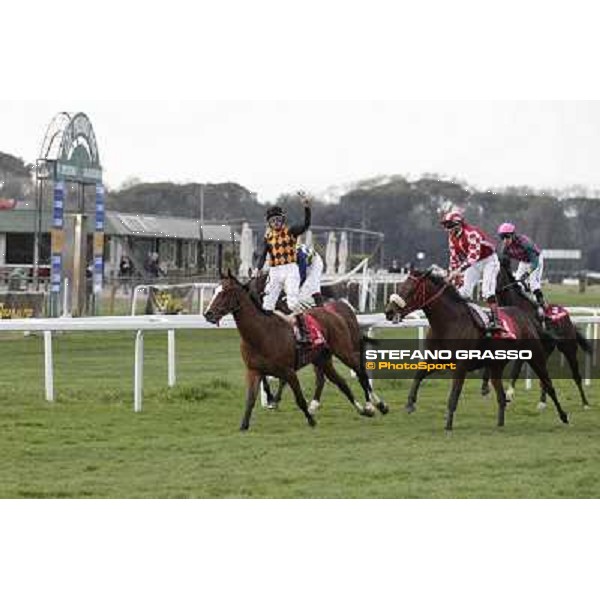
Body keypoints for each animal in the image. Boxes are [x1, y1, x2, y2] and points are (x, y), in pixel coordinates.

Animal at [204, 272, 386, 432]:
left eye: (225, 292)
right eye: (215, 291)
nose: (208, 314)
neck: (261, 333)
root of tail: (332, 311)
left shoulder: (289, 371)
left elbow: (299, 398)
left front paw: (311, 420)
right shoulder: (253, 371)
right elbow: (250, 400)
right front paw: (244, 425)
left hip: (344, 350)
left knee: (360, 372)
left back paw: (376, 405)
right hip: (322, 359)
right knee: (340, 382)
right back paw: (362, 409)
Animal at [384, 268, 568, 432]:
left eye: (410, 290)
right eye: (399, 287)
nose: (389, 311)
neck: (449, 322)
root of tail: (527, 317)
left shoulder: (460, 366)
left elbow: (454, 394)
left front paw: (448, 424)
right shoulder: (436, 359)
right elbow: (418, 375)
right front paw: (410, 403)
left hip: (535, 356)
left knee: (548, 385)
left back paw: (563, 415)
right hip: (496, 366)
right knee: (501, 396)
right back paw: (500, 424)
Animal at [480, 262, 592, 408]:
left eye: (494, 273)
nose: (482, 293)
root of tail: (568, 317)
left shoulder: (525, 347)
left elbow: (515, 370)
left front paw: (509, 393)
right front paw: (485, 387)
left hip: (569, 348)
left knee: (576, 375)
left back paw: (585, 403)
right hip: (545, 350)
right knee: (543, 376)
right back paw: (542, 402)